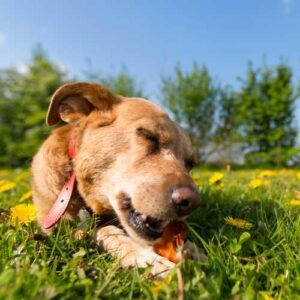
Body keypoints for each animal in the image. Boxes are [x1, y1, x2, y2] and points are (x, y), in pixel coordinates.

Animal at [31, 82, 200, 276]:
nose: (192, 203)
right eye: (149, 136)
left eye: (189, 164)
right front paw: (144, 258)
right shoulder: (61, 227)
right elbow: (107, 231)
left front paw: (191, 248)